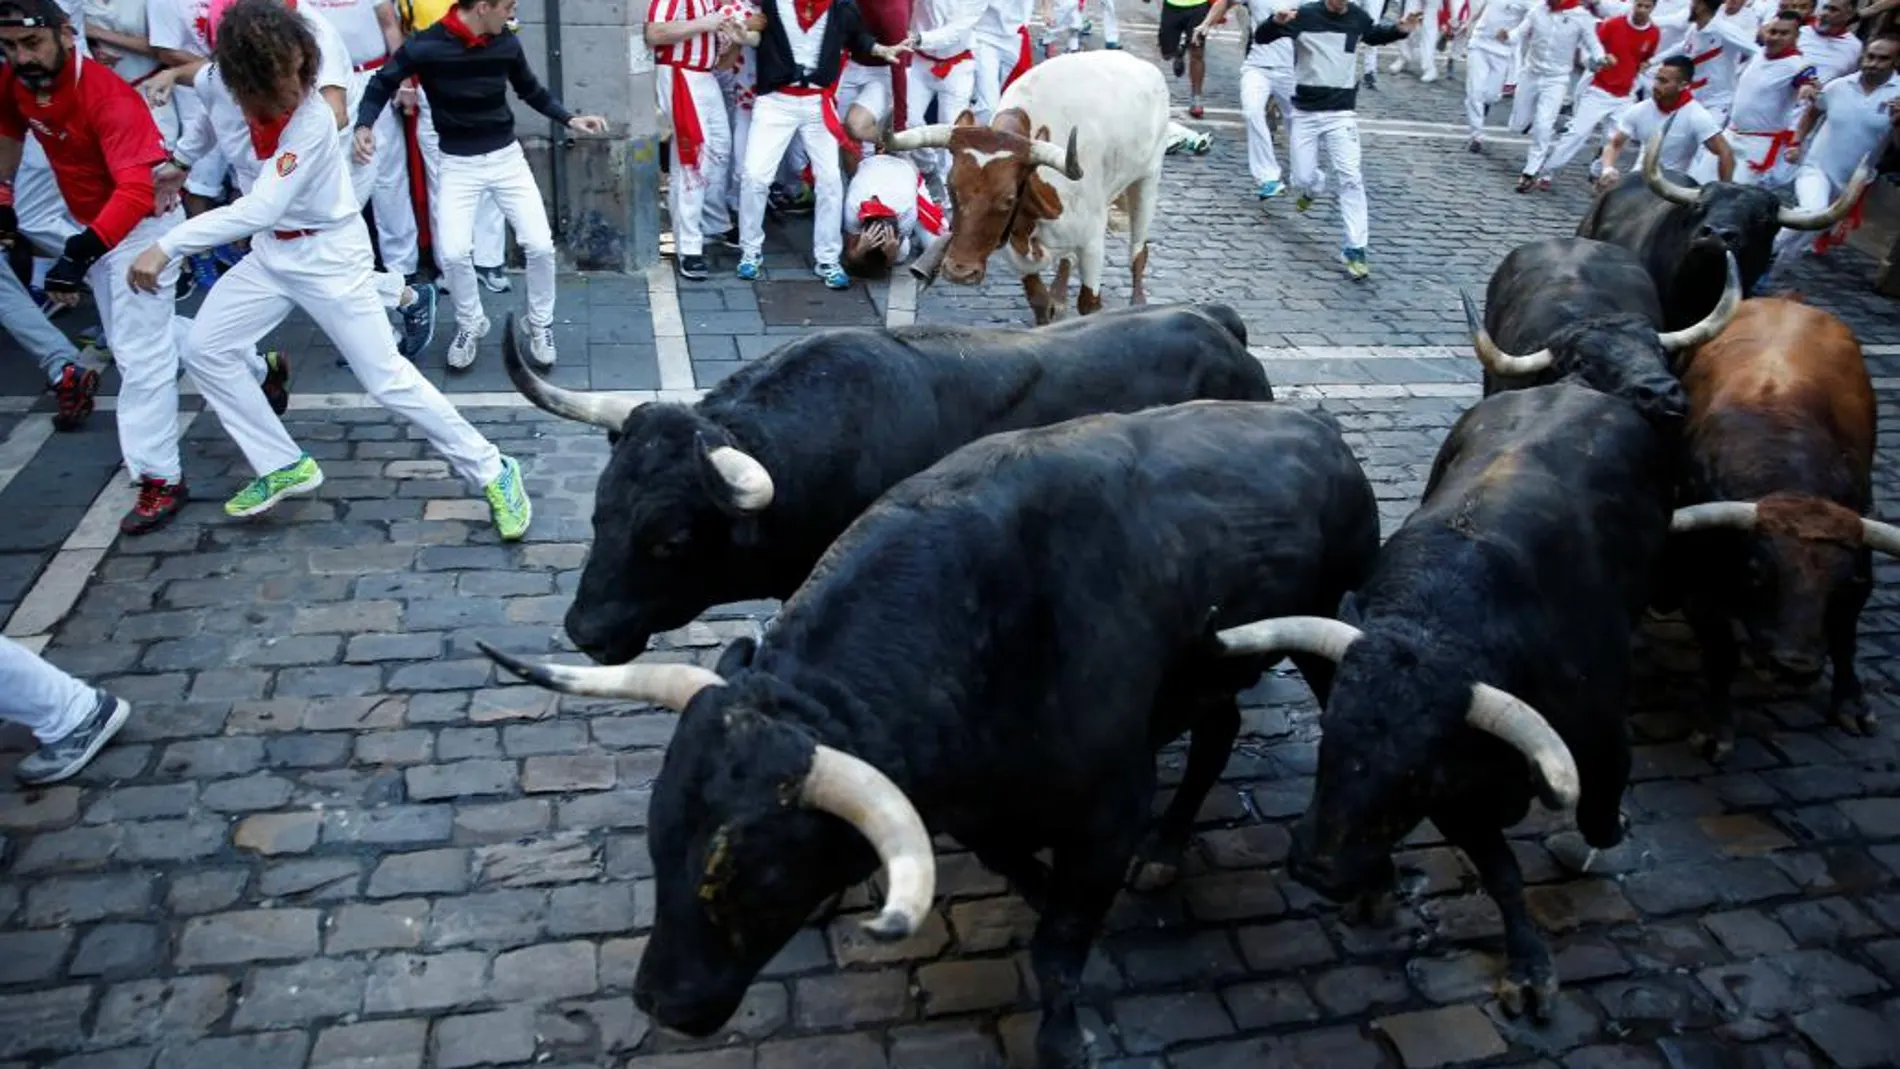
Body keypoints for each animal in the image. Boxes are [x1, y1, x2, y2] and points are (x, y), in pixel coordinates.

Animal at [482, 398, 1383, 1069]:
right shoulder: (978, 811)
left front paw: (1065, 1037)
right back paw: (1168, 846)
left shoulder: (1109, 809)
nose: (662, 1002)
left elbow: (1060, 948)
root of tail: (1320, 431)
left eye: (761, 874)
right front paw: (1040, 888)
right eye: (657, 841)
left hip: (1330, 629)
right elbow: (1019, 869)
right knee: (1220, 724)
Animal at [881, 49, 1162, 326]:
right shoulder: (1012, 242)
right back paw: (1060, 297)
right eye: (951, 187)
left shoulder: (1092, 241)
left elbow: (1089, 304)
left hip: (1148, 178)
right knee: (1068, 259)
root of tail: (1140, 63)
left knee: (1138, 249)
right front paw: (1050, 309)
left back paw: (1139, 302)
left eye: (1008, 199)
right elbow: (1039, 301)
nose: (959, 271)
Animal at [1664, 296, 1900, 755]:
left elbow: (1845, 634)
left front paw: (1851, 703)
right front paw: (1716, 727)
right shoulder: (1695, 578)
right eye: (1756, 573)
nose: (1795, 667)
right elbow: (1720, 650)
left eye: (1839, 583)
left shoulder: (1861, 563)